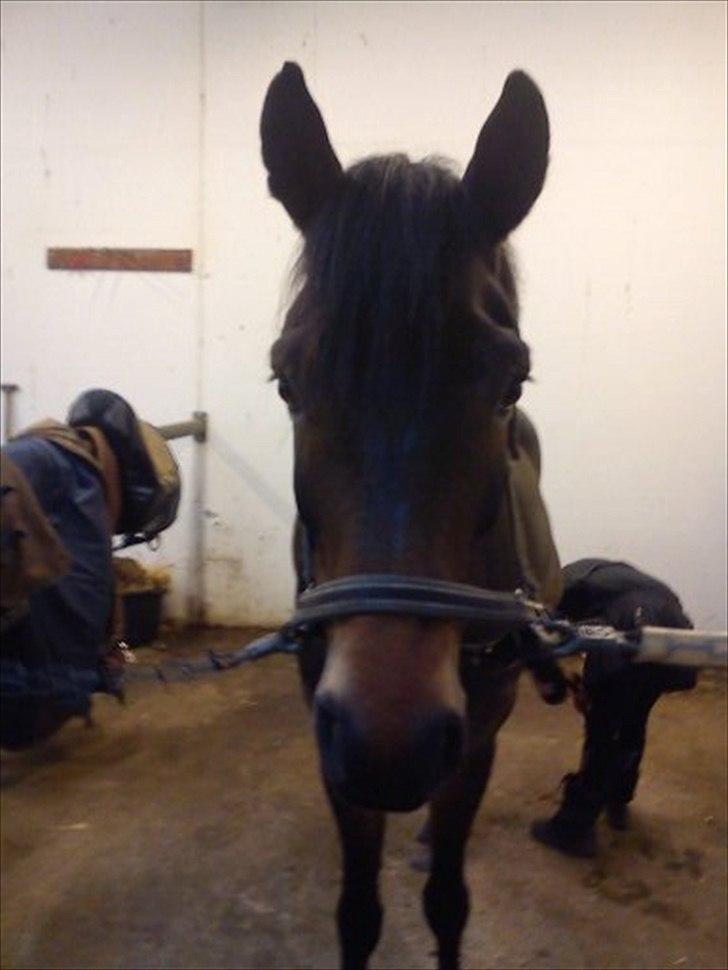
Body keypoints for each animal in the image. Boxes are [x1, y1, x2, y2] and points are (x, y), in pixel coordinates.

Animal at [261, 62, 556, 970]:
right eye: (287, 381)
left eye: (511, 381)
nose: (388, 743)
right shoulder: (332, 742)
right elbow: (357, 909)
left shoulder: (473, 740)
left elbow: (448, 901)